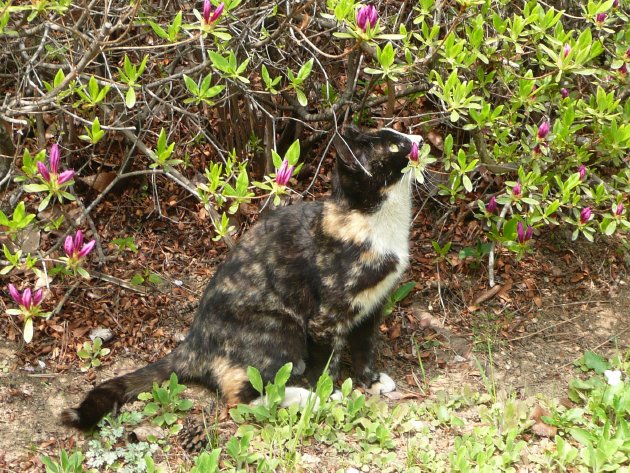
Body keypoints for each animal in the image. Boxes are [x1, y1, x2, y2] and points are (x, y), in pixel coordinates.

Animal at [61, 125, 424, 428]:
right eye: (395, 145)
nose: (419, 139)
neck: (371, 222)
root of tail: (195, 341)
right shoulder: (325, 318)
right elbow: (327, 361)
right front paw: (327, 391)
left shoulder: (373, 305)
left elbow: (365, 346)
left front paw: (371, 379)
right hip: (281, 328)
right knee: (240, 398)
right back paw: (301, 397)